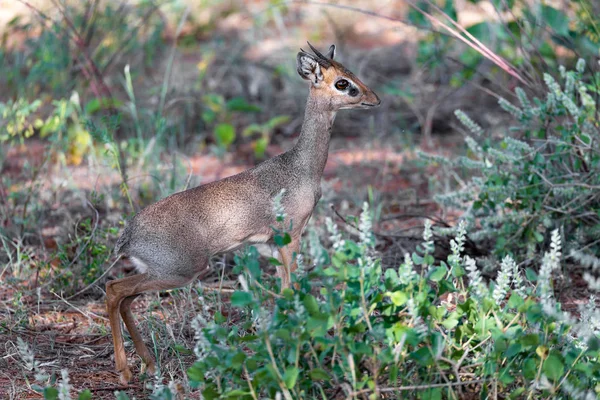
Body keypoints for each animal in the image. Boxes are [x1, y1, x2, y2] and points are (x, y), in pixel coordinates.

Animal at [106, 42, 380, 382]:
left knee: (124, 299)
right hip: (179, 271)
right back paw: (124, 370)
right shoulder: (291, 237)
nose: (374, 98)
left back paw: (148, 363)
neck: (301, 167)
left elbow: (283, 292)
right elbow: (291, 290)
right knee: (114, 291)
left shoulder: (271, 247)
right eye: (342, 83)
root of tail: (127, 235)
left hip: (158, 273)